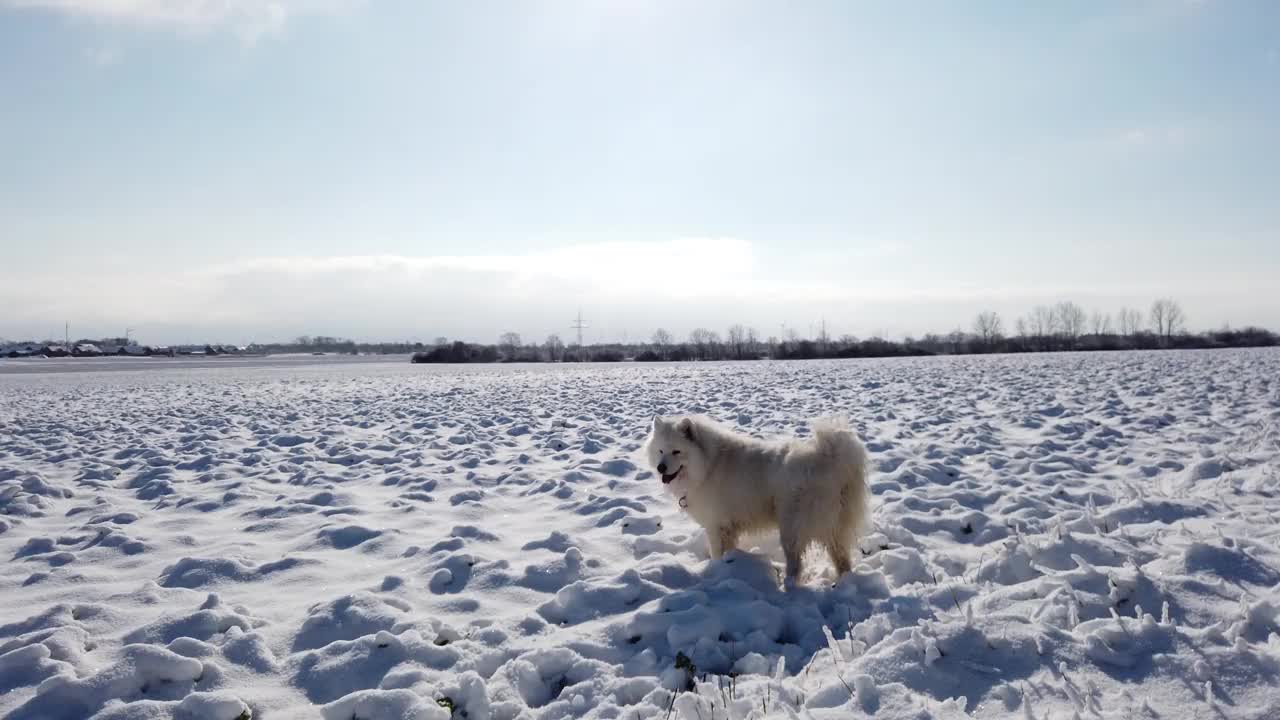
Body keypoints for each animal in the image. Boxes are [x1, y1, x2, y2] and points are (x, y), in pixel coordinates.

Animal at [640, 412, 870, 586]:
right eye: (660, 450)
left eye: (676, 451)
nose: (660, 467)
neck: (707, 465)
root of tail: (829, 459)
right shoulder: (728, 528)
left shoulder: (716, 526)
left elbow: (717, 553)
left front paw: (716, 572)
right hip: (833, 527)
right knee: (841, 557)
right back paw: (843, 581)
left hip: (792, 527)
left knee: (796, 562)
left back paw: (788, 586)